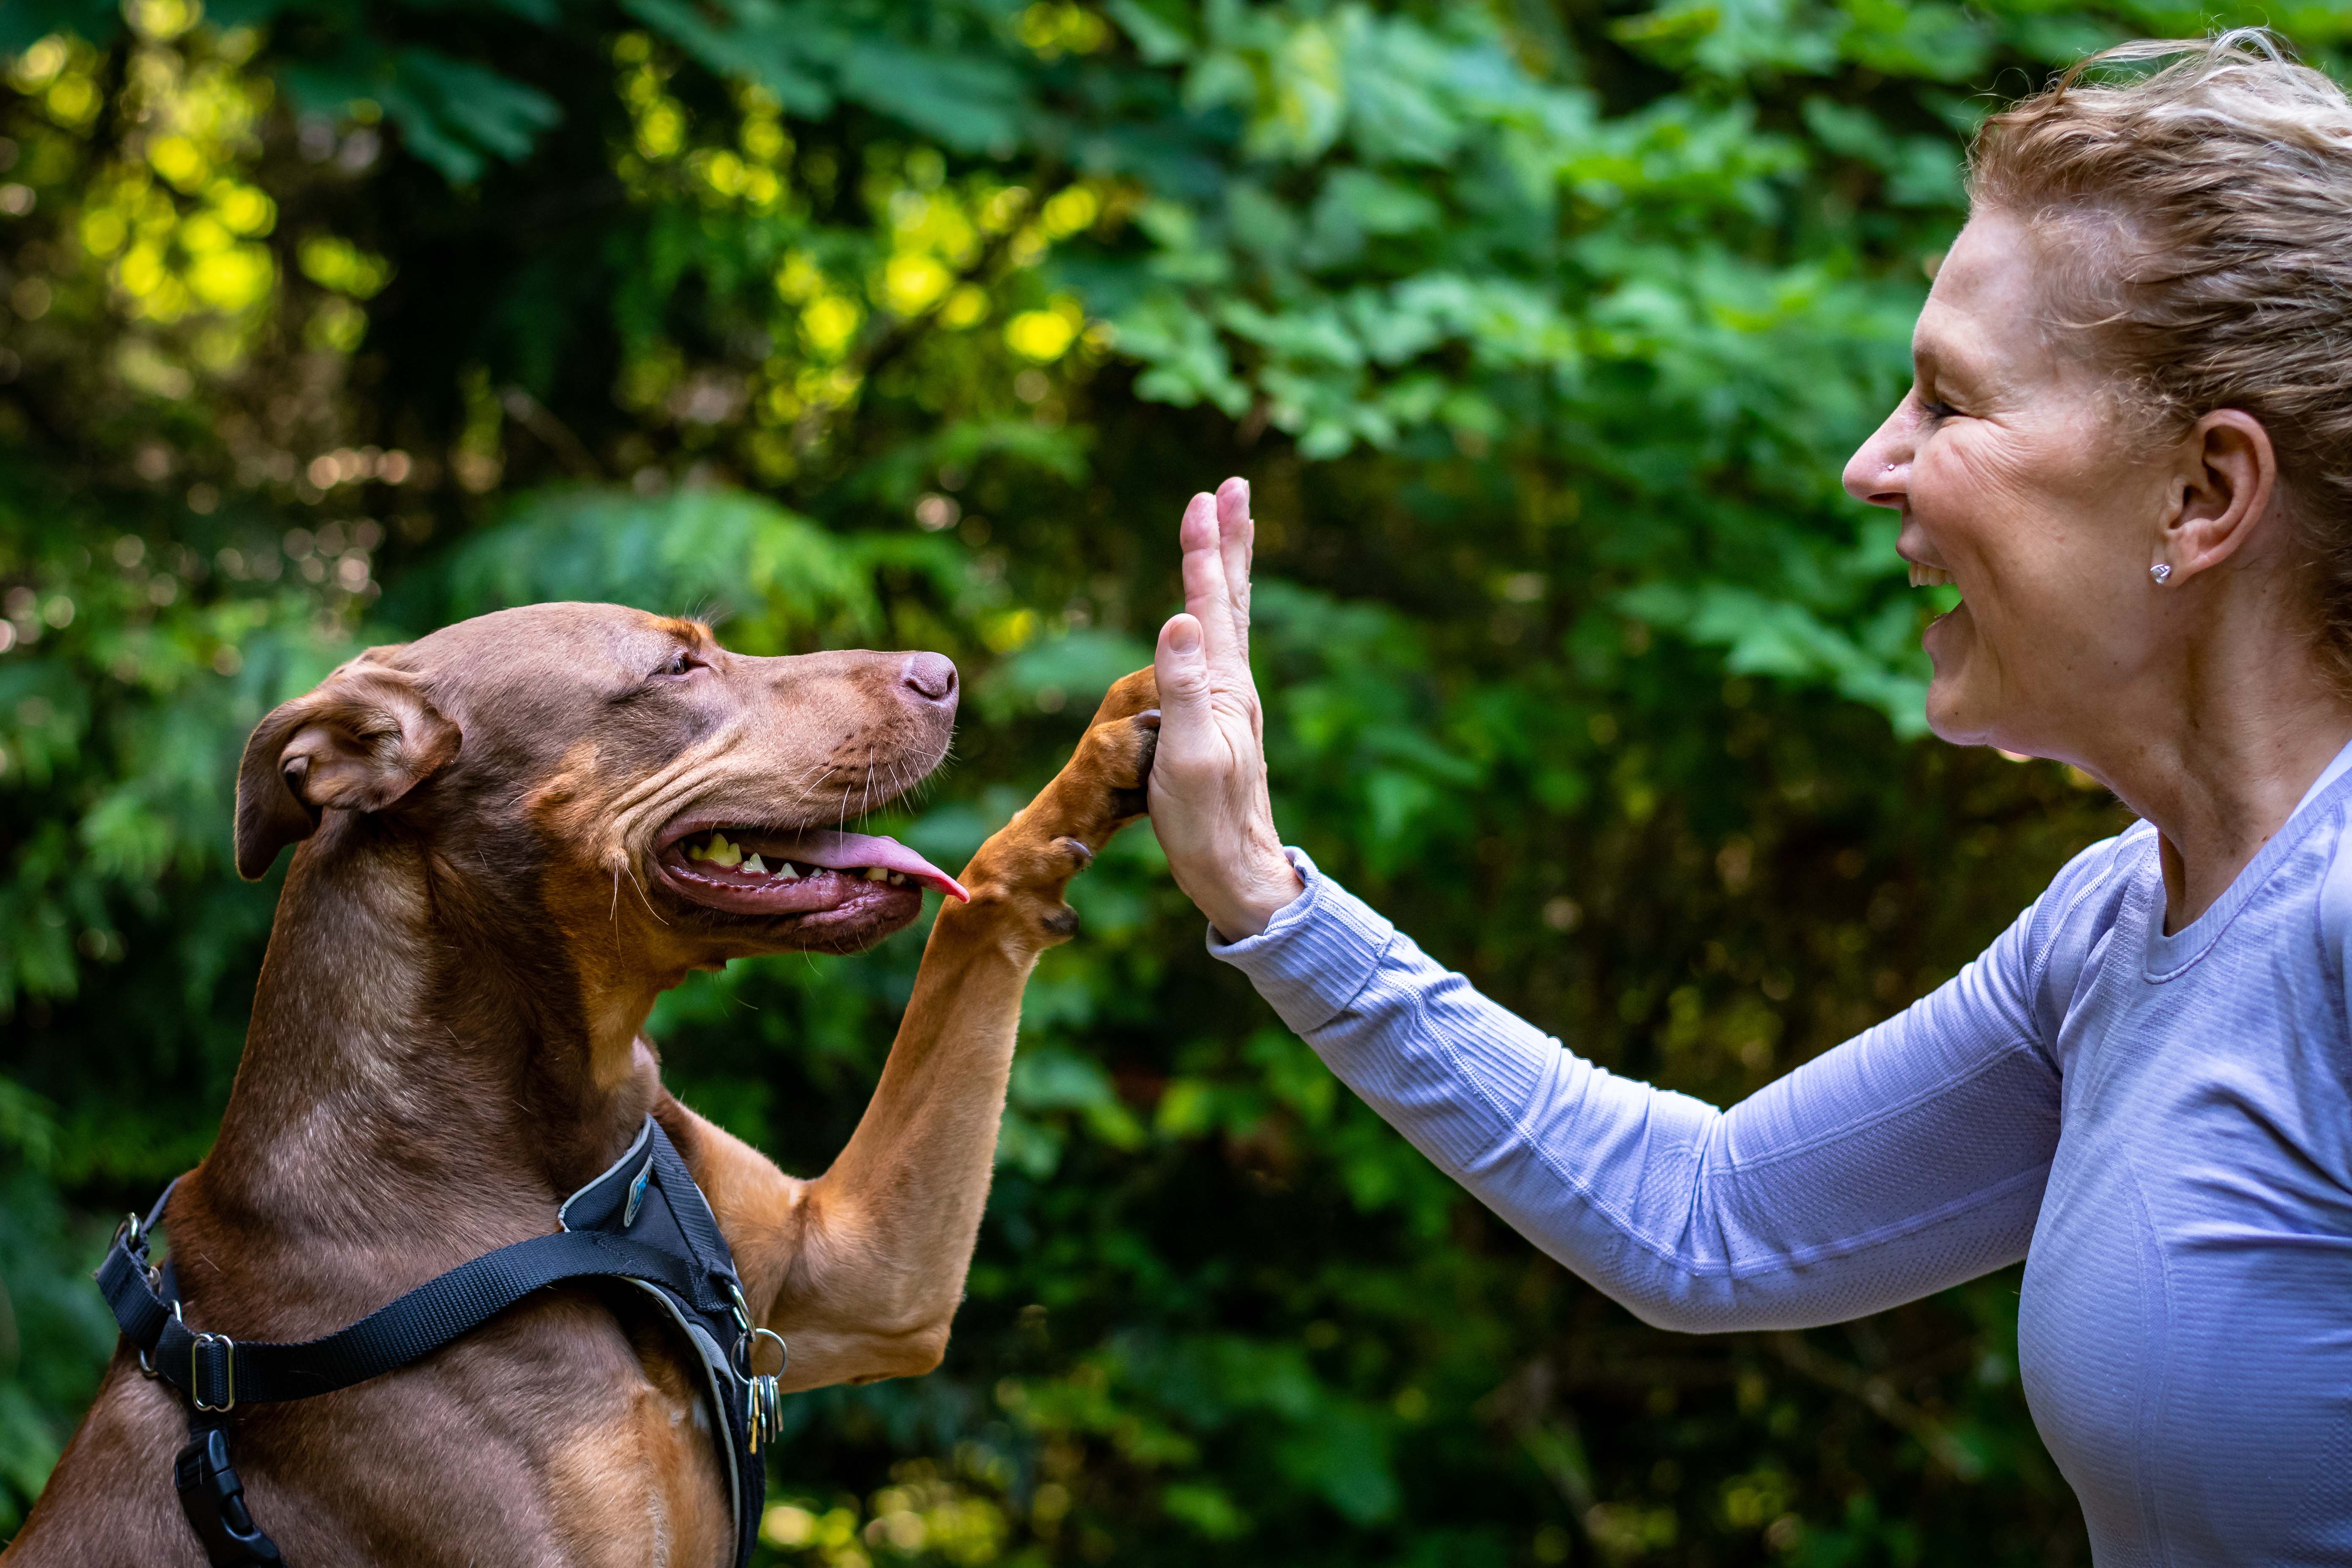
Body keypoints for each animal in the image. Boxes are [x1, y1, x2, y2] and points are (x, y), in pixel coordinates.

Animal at [4, 606, 1162, 1568]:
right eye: (676, 667)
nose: (944, 674)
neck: (577, 1173)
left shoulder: (867, 1275)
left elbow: (972, 918)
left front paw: (1112, 744)